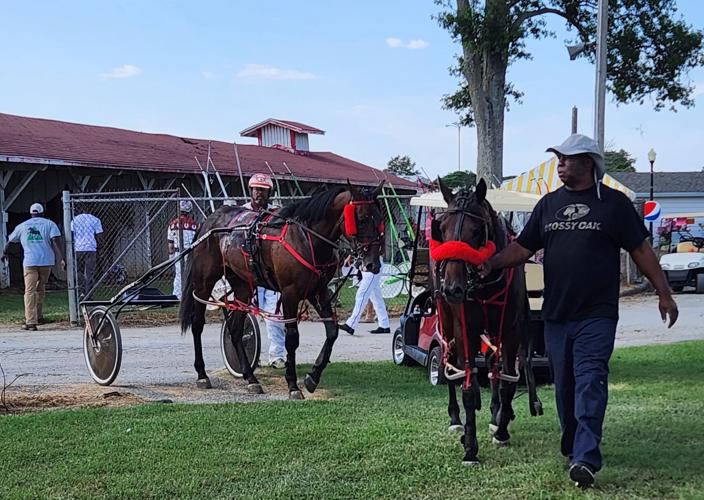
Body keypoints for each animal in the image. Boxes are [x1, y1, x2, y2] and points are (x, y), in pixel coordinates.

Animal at [177, 183, 384, 398]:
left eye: (380, 219)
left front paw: (313, 376)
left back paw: (251, 378)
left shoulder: (318, 291)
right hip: (204, 283)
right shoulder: (289, 293)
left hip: (243, 285)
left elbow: (332, 332)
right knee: (197, 324)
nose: (373, 264)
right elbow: (292, 338)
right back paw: (202, 374)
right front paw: (293, 384)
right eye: (361, 218)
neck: (307, 238)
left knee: (235, 330)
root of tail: (210, 220)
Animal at [432, 177, 532, 464]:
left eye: (477, 230)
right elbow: (466, 382)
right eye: (442, 228)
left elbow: (507, 378)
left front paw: (501, 429)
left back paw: (496, 412)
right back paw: (456, 418)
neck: (486, 283)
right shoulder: (465, 327)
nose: (452, 289)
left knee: (492, 364)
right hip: (447, 320)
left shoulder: (511, 330)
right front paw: (470, 445)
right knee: (449, 362)